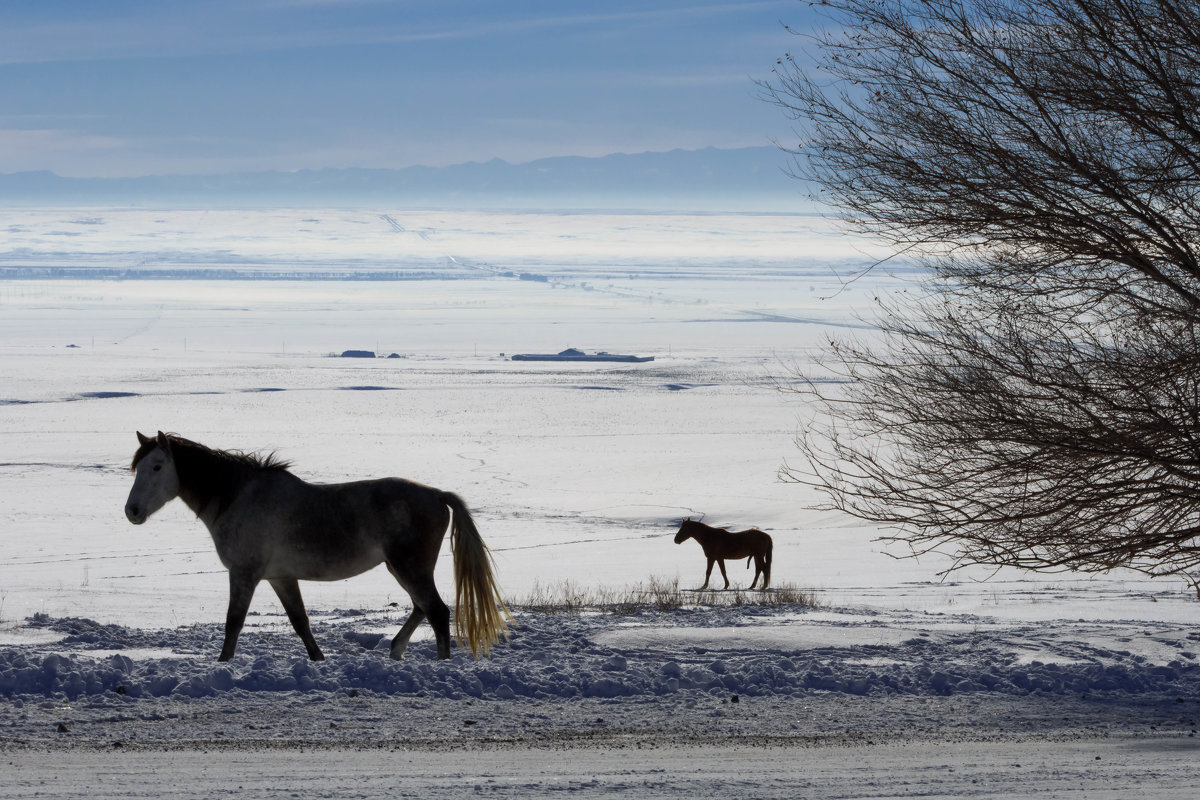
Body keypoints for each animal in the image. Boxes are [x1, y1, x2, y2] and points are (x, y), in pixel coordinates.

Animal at [124, 431, 508, 662]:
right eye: (136, 467)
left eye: (157, 466)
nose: (132, 511)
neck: (239, 497)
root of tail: (437, 496)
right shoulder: (280, 577)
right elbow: (300, 622)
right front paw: (318, 659)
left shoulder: (244, 574)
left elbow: (234, 623)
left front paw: (223, 663)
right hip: (400, 567)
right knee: (422, 608)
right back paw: (396, 650)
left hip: (409, 566)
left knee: (437, 611)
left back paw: (438, 661)